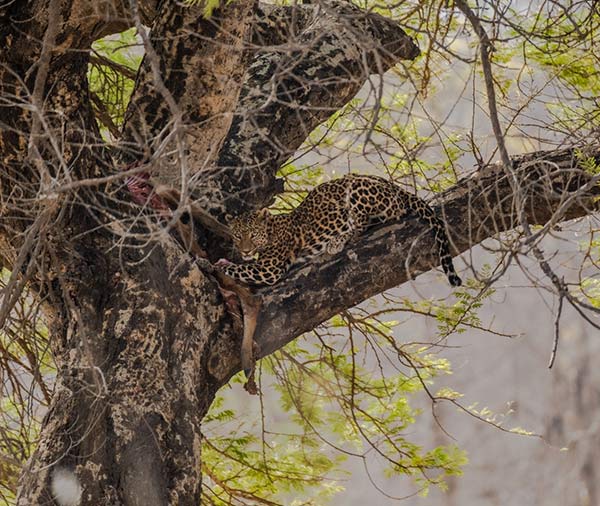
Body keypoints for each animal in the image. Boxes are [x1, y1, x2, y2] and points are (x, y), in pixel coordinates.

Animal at [218, 174, 462, 286]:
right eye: (238, 236)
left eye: (253, 234)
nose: (245, 250)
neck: (271, 231)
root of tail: (395, 187)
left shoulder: (269, 269)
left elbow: (240, 269)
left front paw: (215, 264)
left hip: (356, 189)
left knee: (368, 222)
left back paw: (336, 242)